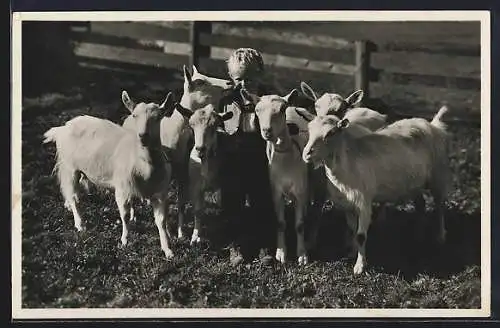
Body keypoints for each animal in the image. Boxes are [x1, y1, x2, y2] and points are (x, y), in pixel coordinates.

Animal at [43, 90, 176, 258]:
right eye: (134, 115)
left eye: (159, 117)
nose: (143, 136)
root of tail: (62, 128)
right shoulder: (122, 188)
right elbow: (124, 216)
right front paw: (125, 240)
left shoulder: (160, 193)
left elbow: (161, 221)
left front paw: (167, 249)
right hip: (69, 166)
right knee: (73, 196)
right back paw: (80, 224)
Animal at [121, 65, 232, 237]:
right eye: (200, 82)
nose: (229, 83)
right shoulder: (170, 173)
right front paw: (170, 231)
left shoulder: (183, 173)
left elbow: (181, 203)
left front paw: (181, 233)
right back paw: (133, 215)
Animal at [296, 105, 450, 274]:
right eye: (309, 129)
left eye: (330, 133)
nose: (306, 154)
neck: (348, 165)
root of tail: (433, 124)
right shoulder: (347, 204)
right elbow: (352, 230)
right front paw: (352, 252)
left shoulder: (364, 202)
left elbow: (361, 235)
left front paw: (360, 266)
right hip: (414, 183)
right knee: (421, 204)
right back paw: (418, 233)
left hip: (438, 174)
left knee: (439, 205)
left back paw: (440, 237)